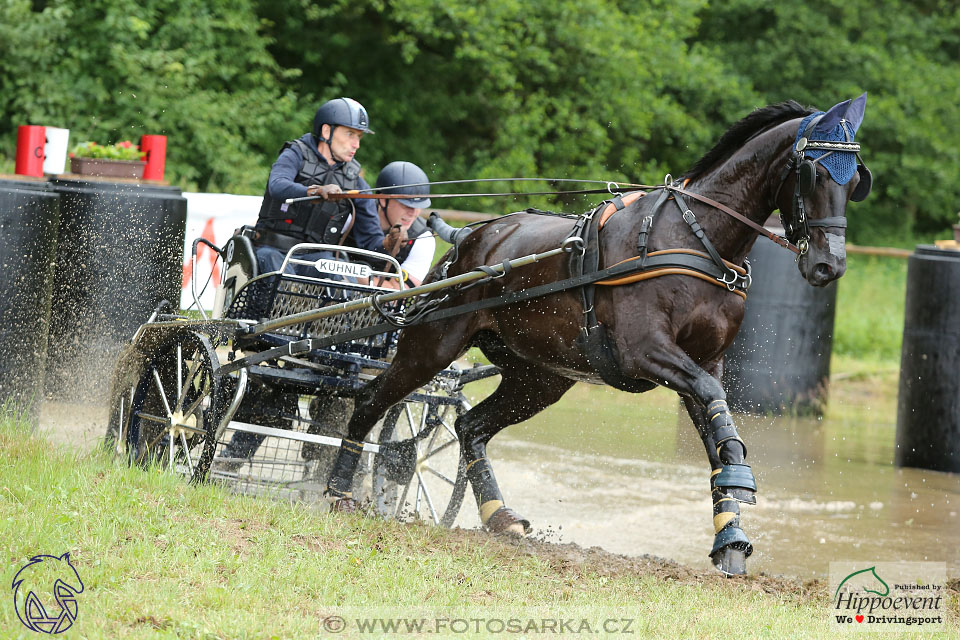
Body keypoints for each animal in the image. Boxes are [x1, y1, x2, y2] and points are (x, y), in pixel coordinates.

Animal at [322, 96, 872, 576]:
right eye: (814, 172)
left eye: (855, 182)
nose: (830, 265)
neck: (698, 238)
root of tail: (469, 239)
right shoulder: (647, 353)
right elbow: (717, 411)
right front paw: (739, 484)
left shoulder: (704, 362)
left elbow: (717, 427)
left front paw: (730, 539)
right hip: (432, 345)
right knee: (370, 401)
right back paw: (337, 490)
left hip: (539, 378)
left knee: (470, 426)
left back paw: (499, 515)